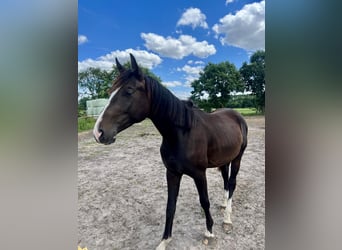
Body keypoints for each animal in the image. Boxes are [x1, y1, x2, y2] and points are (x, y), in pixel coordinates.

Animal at [93, 53, 248, 249]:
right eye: (110, 91)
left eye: (129, 90)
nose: (98, 132)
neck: (182, 133)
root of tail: (237, 116)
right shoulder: (172, 173)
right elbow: (170, 206)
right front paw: (164, 240)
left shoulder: (199, 174)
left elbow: (204, 201)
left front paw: (209, 232)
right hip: (224, 159)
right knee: (226, 183)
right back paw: (223, 206)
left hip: (238, 158)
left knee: (232, 183)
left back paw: (227, 219)